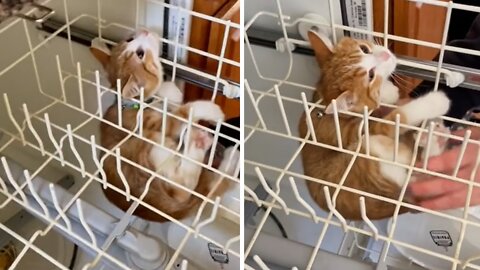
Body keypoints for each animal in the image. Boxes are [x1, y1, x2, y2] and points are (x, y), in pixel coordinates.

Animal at [91, 30, 239, 223]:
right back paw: (201, 142)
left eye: (130, 39)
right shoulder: (158, 124)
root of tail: (161, 212)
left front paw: (171, 90)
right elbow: (183, 112)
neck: (136, 103)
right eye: (140, 54)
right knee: (184, 189)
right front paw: (210, 110)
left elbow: (171, 94)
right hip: (147, 147)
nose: (144, 31)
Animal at [300, 30, 450, 220]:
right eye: (370, 75)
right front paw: (435, 102)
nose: (386, 55)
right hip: (371, 152)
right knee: (413, 172)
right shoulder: (359, 130)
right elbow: (397, 118)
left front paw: (387, 92)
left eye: (364, 49)